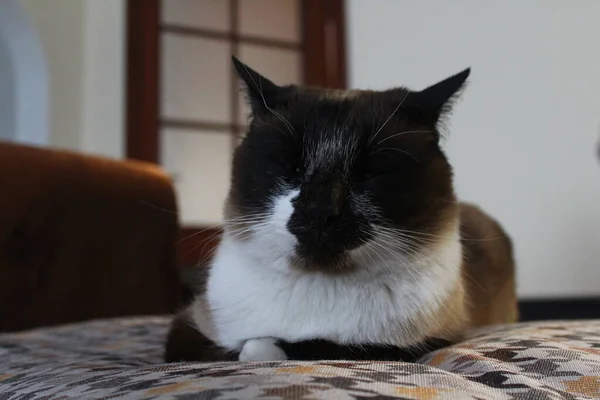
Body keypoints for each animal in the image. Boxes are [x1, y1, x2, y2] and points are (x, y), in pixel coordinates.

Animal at [163, 57, 516, 362]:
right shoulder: (189, 325)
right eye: (288, 167)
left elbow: (298, 347)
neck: (317, 282)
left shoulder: (418, 344)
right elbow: (220, 349)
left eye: (373, 173)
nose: (321, 209)